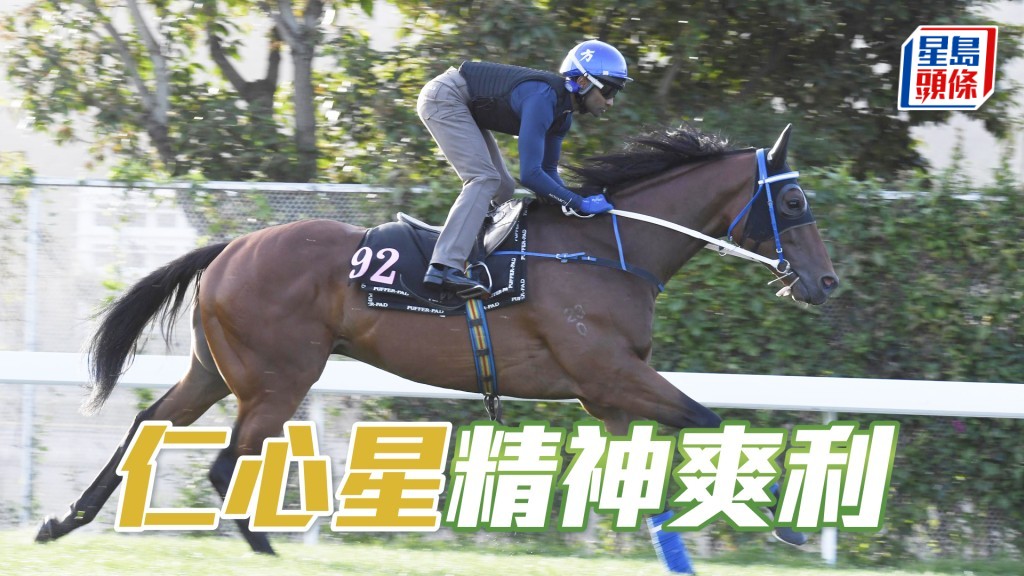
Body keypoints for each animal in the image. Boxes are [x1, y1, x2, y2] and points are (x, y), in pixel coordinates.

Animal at [35, 124, 838, 555]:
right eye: (796, 199)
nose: (825, 283)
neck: (607, 250)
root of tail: (231, 246)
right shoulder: (609, 374)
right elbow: (711, 419)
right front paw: (789, 524)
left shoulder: (606, 397)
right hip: (278, 377)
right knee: (226, 461)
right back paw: (262, 546)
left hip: (215, 369)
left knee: (150, 424)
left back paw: (62, 522)